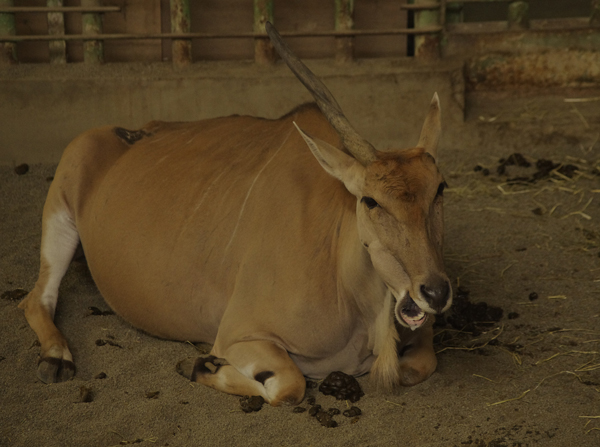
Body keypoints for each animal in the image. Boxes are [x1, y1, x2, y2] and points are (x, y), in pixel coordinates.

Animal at [17, 21, 450, 406]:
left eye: (440, 189)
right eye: (371, 200)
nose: (435, 292)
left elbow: (420, 366)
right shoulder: (240, 335)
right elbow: (288, 386)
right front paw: (201, 365)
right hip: (59, 210)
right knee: (37, 297)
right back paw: (56, 357)